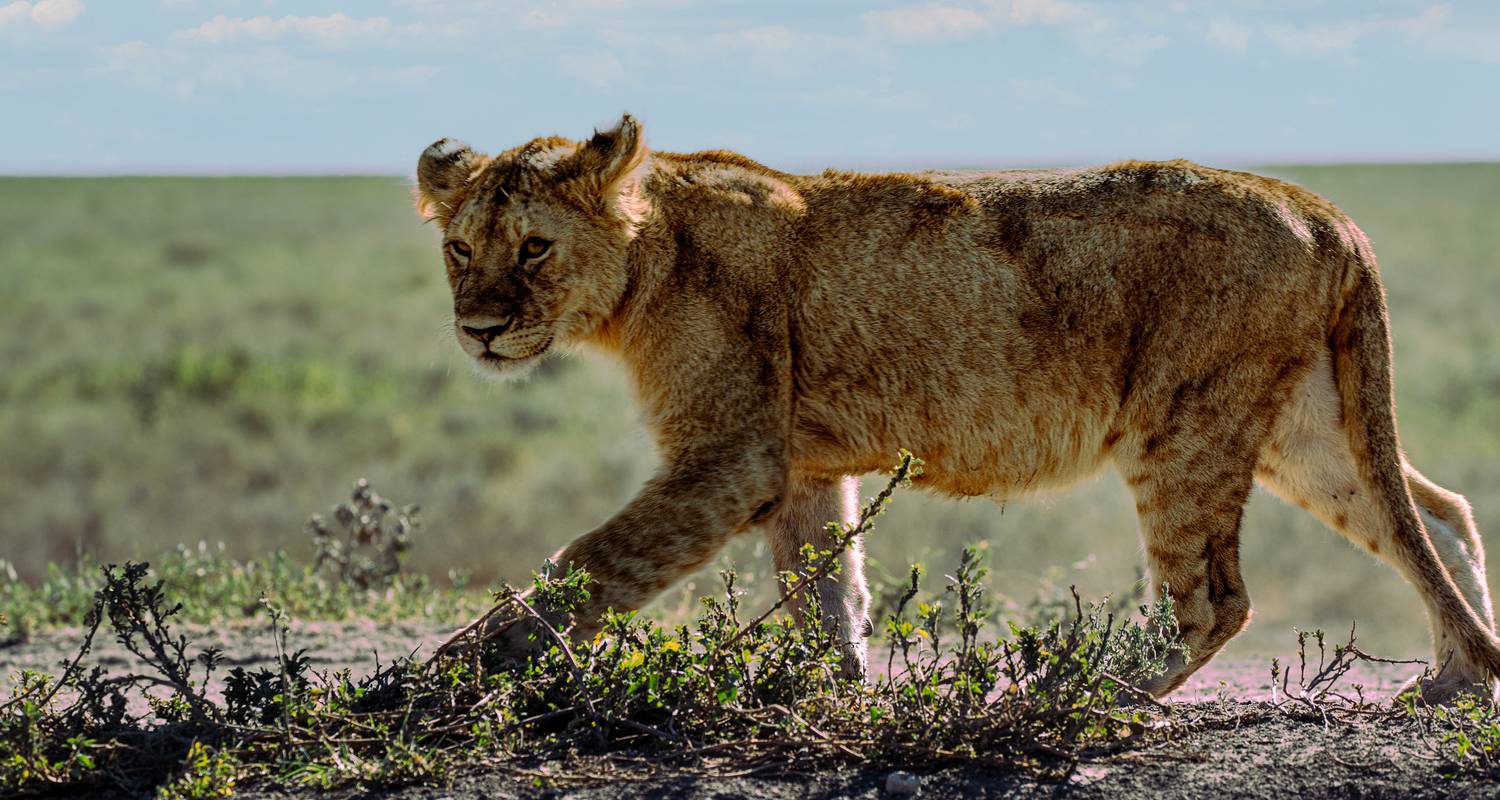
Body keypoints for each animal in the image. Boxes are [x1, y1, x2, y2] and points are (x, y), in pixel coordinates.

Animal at [417, 112, 1500, 699]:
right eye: (460, 248)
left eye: (534, 249)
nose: (476, 329)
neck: (650, 253)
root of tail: (1327, 210)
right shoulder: (801, 465)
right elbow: (827, 596)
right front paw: (838, 697)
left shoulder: (729, 457)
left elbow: (587, 566)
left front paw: (438, 682)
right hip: (1301, 426)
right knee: (1434, 516)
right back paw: (1453, 677)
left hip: (1184, 425)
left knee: (1214, 600)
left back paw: (1076, 694)